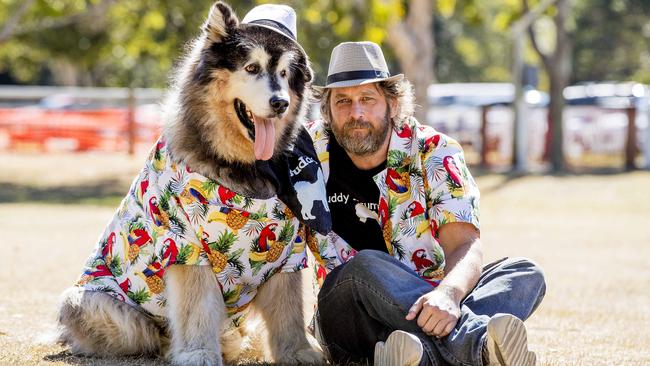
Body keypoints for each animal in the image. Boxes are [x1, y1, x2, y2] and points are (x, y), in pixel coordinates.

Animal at [56, 1, 326, 364]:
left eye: (284, 74)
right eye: (252, 67)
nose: (280, 102)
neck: (240, 166)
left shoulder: (288, 251)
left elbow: (289, 309)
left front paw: (298, 351)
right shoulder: (186, 248)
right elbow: (197, 308)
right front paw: (198, 353)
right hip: (95, 305)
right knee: (148, 333)